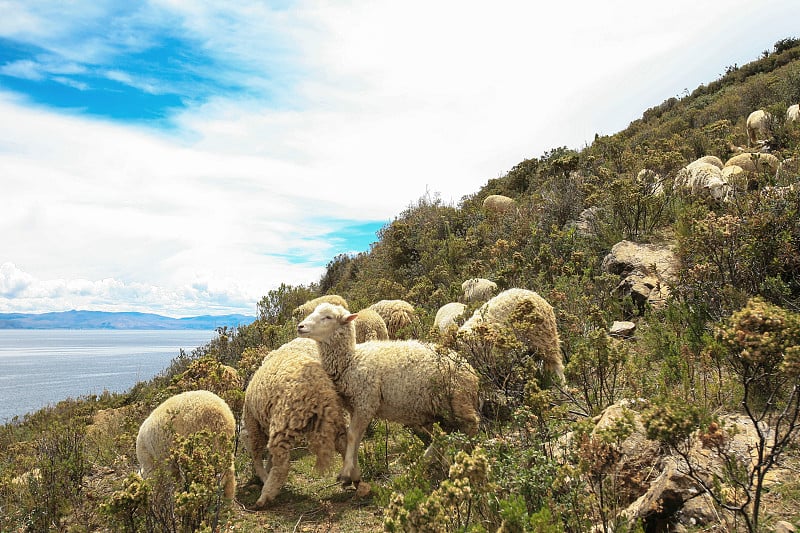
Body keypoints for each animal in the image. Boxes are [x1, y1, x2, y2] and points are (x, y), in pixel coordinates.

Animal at [241, 336, 346, 508]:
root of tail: (316, 388)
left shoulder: (255, 426)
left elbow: (258, 459)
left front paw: (264, 476)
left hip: (283, 420)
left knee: (282, 464)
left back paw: (265, 496)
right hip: (331, 417)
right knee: (344, 443)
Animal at [296, 302, 478, 484]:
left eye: (328, 317)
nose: (300, 326)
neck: (351, 360)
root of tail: (470, 369)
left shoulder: (366, 402)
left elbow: (352, 436)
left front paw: (346, 472)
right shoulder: (355, 406)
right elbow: (355, 437)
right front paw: (354, 472)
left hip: (457, 402)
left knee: (469, 427)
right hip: (438, 411)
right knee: (443, 436)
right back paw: (427, 462)